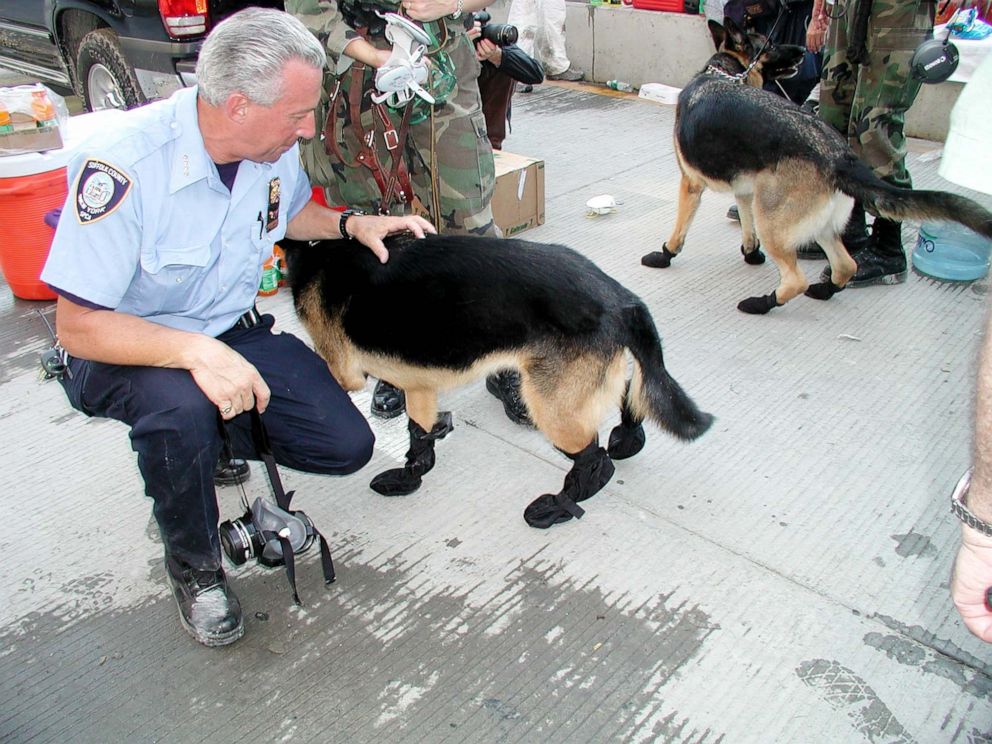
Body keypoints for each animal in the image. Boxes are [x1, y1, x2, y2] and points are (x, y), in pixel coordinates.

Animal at [280, 235, 712, 528]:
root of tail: (621, 298)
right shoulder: (418, 385)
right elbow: (419, 436)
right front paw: (410, 474)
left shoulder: (342, 372)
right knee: (629, 389)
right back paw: (628, 435)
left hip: (550, 406)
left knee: (595, 459)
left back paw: (560, 504)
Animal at [644, 17, 992, 314]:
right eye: (771, 44)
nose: (803, 49)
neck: (723, 72)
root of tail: (838, 154)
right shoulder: (745, 192)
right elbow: (747, 228)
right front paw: (751, 254)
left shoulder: (690, 184)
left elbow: (680, 229)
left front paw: (665, 253)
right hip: (815, 223)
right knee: (846, 265)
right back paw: (824, 290)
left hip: (773, 221)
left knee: (795, 279)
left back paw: (763, 303)